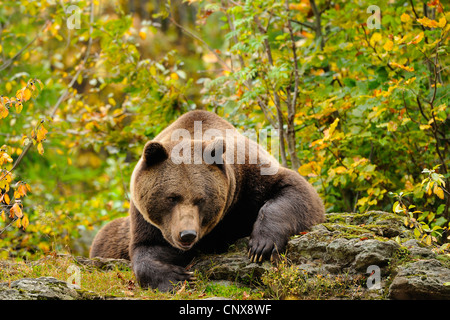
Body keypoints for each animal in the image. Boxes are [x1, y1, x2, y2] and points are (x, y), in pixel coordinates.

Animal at [90, 110, 324, 292]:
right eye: (172, 197)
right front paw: (177, 277)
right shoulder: (145, 218)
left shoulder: (248, 179)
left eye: (200, 199)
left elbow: (295, 191)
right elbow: (148, 249)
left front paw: (260, 246)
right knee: (106, 237)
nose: (187, 234)